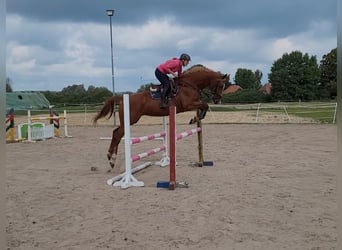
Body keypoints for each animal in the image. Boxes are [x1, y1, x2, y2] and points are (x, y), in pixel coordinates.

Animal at [93, 65, 230, 169]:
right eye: (221, 86)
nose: (218, 100)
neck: (190, 84)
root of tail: (123, 98)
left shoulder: (193, 104)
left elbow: (204, 107)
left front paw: (196, 118)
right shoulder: (187, 105)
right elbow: (205, 105)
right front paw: (195, 119)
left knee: (117, 133)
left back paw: (112, 159)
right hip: (131, 119)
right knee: (117, 134)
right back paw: (111, 158)